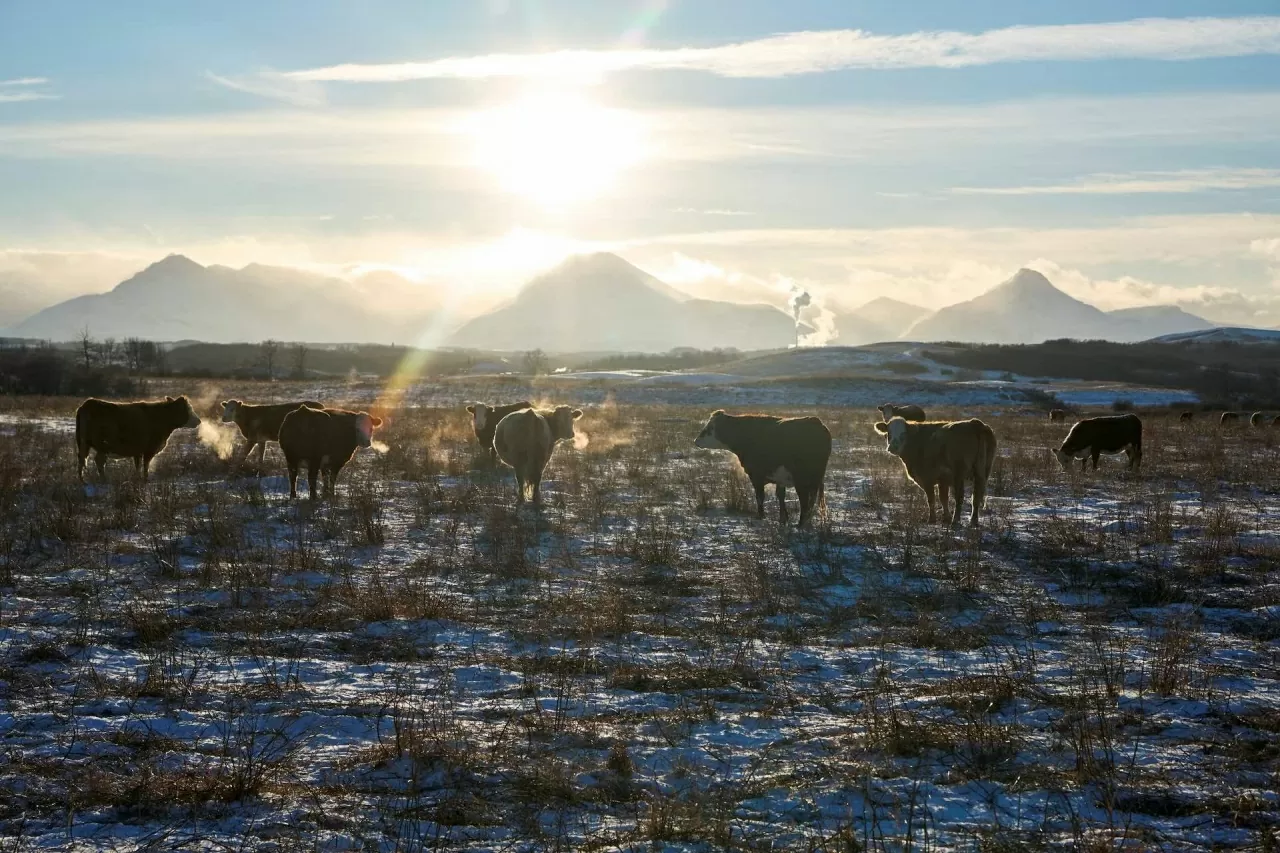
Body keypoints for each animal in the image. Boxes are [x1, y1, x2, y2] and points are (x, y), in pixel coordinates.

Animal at [696, 409, 834, 525]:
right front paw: (783, 519)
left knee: (805, 501)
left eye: (709, 428)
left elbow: (760, 497)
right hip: (814, 480)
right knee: (811, 501)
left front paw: (761, 516)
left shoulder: (756, 475)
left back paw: (801, 524)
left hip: (802, 479)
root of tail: (817, 423)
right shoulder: (780, 478)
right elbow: (780, 496)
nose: (696, 441)